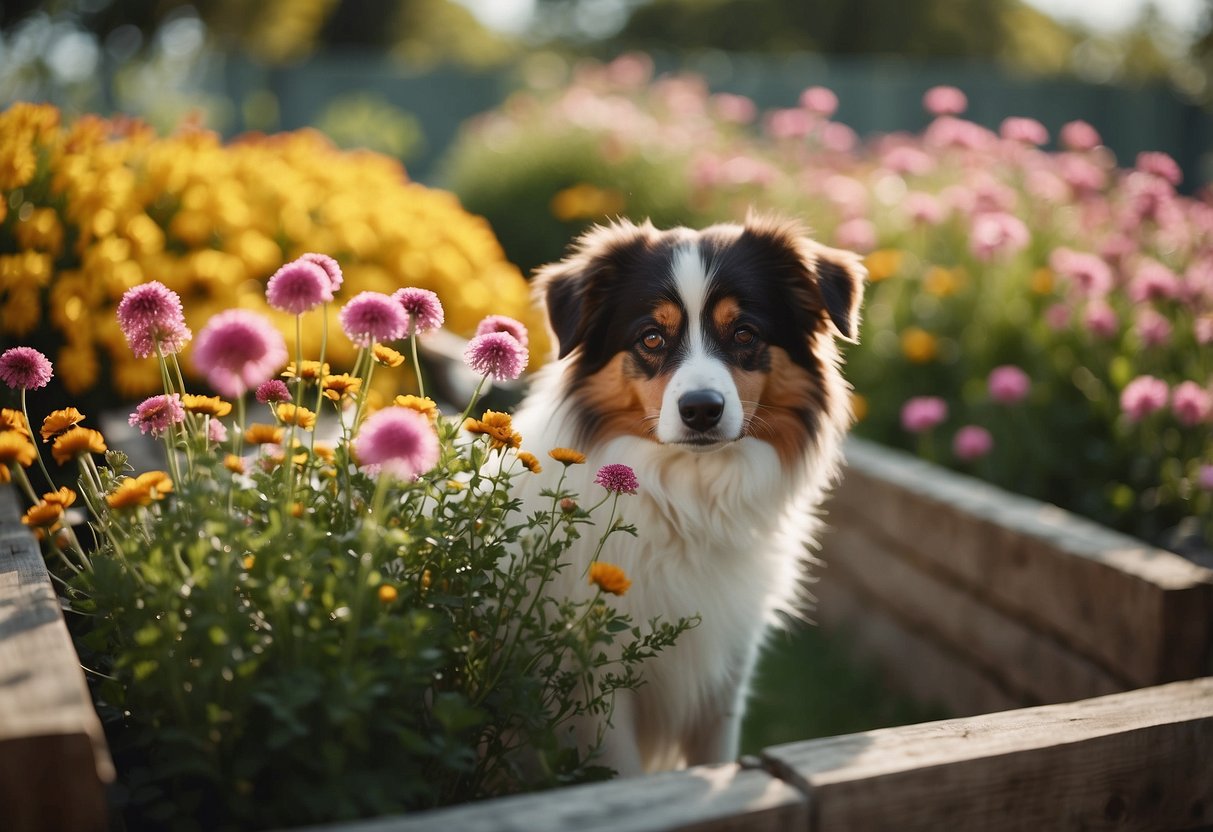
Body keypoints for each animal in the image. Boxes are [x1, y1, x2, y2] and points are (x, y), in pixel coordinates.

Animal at [507, 213, 868, 776]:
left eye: (744, 332)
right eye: (652, 337)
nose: (701, 409)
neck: (688, 500)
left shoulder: (724, 681)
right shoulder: (596, 683)